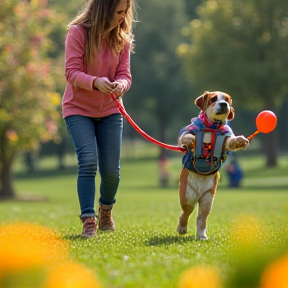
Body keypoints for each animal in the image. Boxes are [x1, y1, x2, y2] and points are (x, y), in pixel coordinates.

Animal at [177, 91, 249, 240]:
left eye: (227, 100)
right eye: (213, 99)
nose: (223, 104)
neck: (212, 126)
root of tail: (199, 193)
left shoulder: (226, 137)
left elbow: (232, 140)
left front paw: (240, 140)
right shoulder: (189, 131)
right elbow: (186, 136)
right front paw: (191, 140)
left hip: (207, 199)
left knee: (201, 217)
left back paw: (201, 235)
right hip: (188, 196)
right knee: (186, 212)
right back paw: (182, 228)